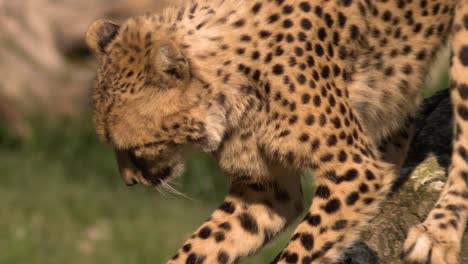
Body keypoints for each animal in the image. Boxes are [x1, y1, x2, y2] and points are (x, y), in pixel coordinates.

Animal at [86, 0, 468, 262]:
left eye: (133, 147)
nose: (130, 181)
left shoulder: (354, 172)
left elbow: (301, 248)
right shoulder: (266, 193)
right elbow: (203, 245)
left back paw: (437, 234)